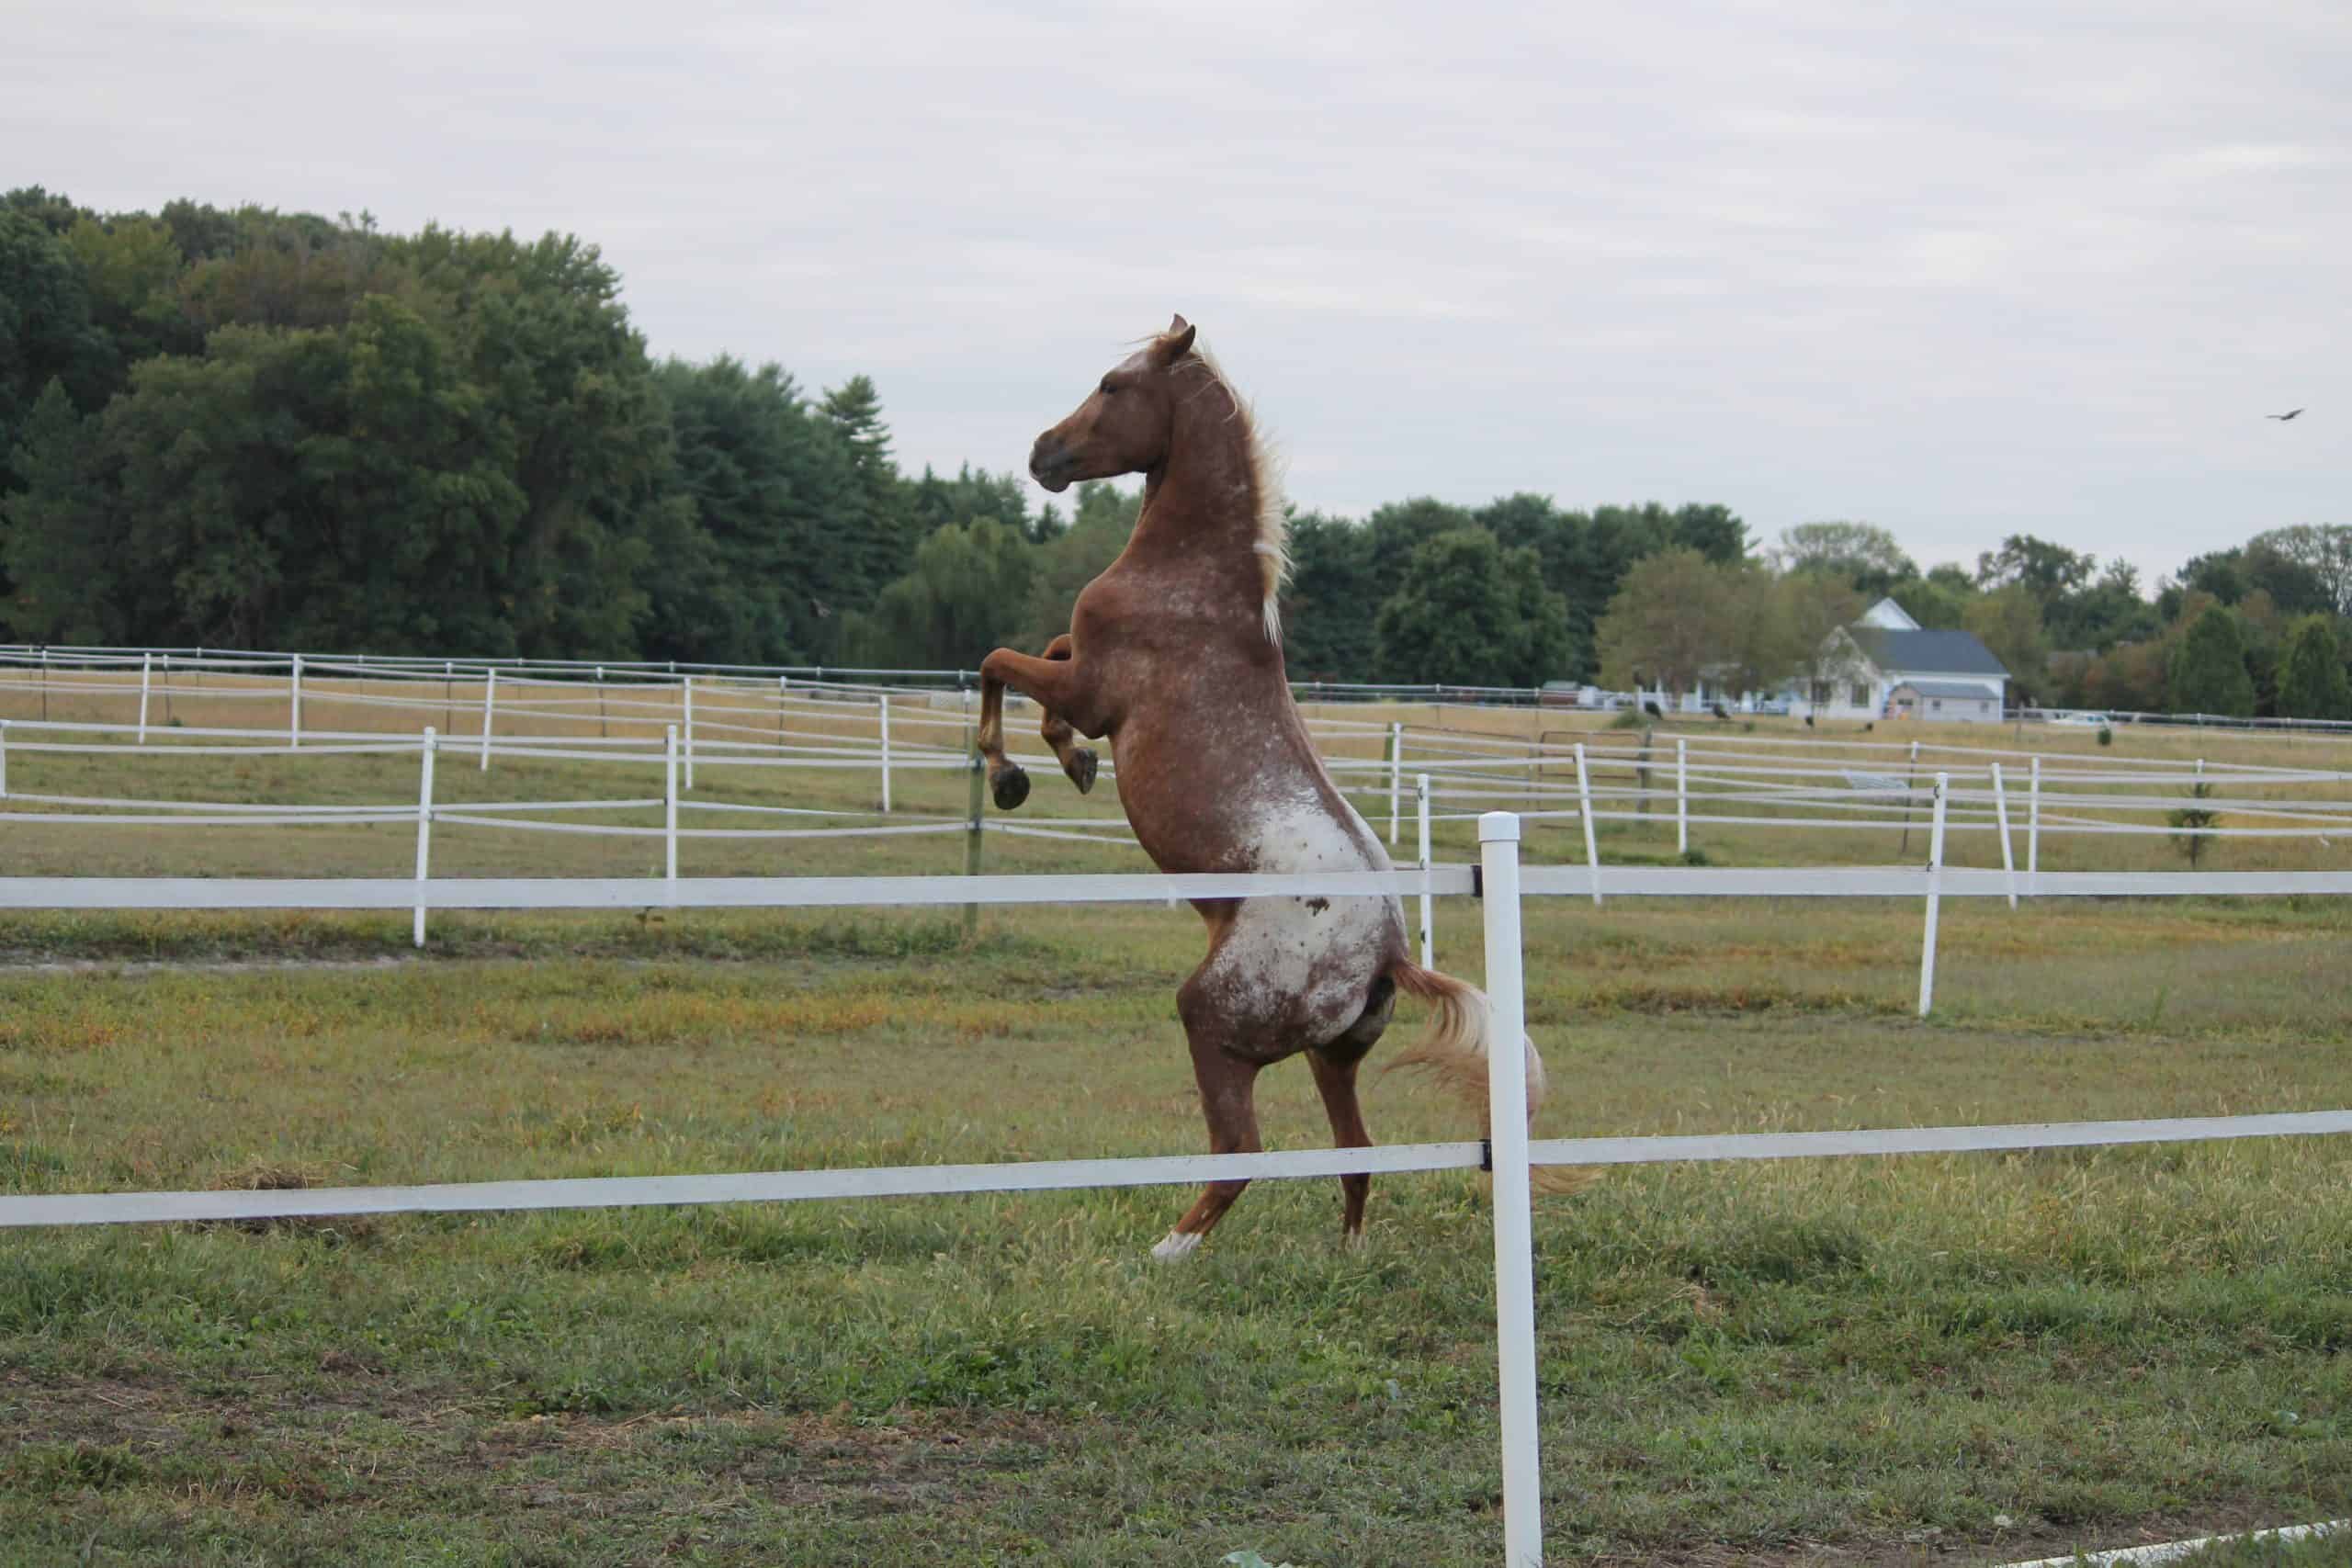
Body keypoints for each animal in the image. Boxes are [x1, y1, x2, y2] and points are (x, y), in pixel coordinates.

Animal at [973, 312, 1543, 1259]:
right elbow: (1039, 655)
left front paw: (1013, 773)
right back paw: (1344, 1256)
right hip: (1328, 1058)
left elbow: (997, 662)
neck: (1195, 581)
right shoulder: (1082, 673)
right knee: (1356, 1155)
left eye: (1113, 385)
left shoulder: (1093, 688)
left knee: (1241, 1152)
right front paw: (1069, 763)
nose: (1042, 452)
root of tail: (1387, 954)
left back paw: (1170, 1249)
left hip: (1214, 1023)